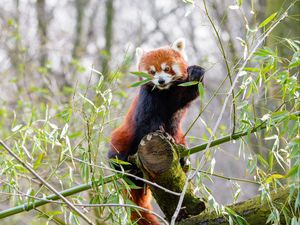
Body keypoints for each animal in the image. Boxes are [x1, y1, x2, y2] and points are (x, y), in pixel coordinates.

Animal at [108, 37, 204, 224]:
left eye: (166, 68)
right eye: (152, 72)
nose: (160, 81)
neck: (164, 91)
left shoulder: (177, 97)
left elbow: (188, 95)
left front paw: (196, 72)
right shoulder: (147, 99)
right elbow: (148, 121)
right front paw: (160, 132)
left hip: (180, 135)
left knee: (180, 142)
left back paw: (183, 159)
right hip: (123, 138)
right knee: (117, 153)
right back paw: (126, 167)